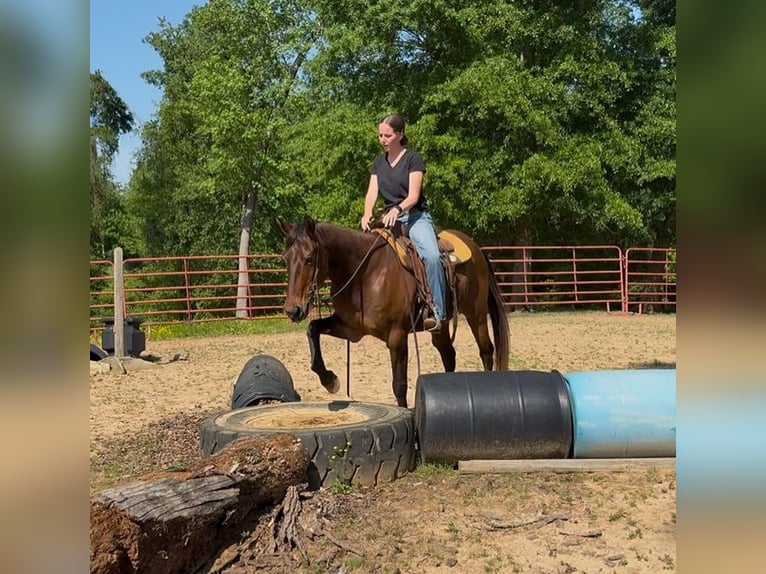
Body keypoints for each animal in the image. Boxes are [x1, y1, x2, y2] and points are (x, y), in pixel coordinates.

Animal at [277, 216, 510, 408]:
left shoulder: (397, 336)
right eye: (286, 258)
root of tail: (476, 247)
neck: (365, 274)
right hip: (440, 326)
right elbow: (312, 328)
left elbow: (399, 385)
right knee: (449, 355)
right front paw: (329, 379)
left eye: (309, 258)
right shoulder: (350, 329)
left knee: (486, 350)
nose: (292, 309)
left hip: (476, 314)